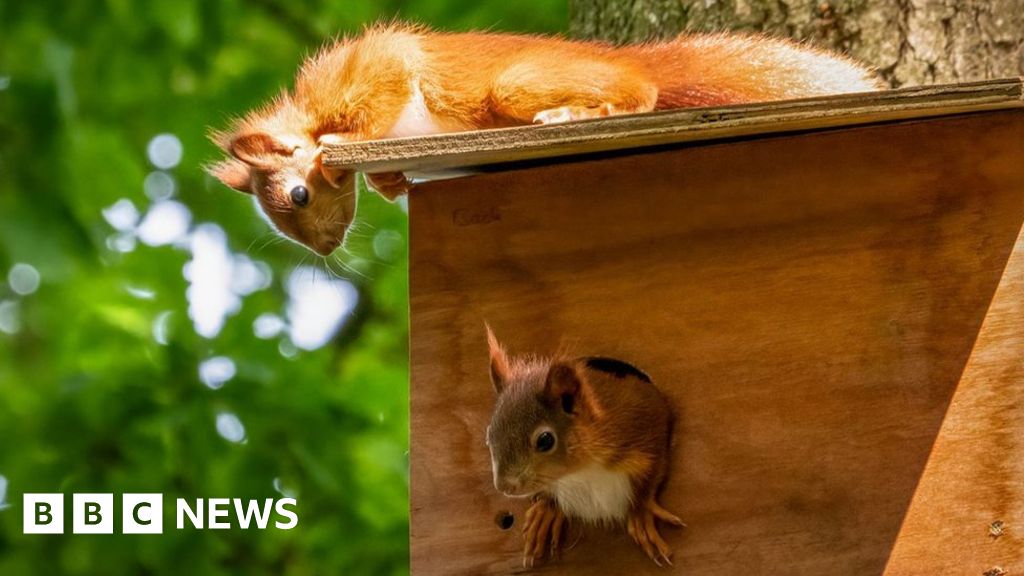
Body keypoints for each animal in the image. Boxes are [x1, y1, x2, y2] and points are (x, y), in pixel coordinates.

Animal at [205, 22, 880, 254]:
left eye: (299, 196)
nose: (324, 250)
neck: (310, 113)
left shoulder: (375, 69)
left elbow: (375, 102)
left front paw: (337, 151)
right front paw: (390, 179)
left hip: (519, 85)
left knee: (641, 94)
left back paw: (571, 115)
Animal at [483, 327, 684, 565]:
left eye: (545, 440)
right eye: (488, 435)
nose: (504, 486)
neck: (579, 473)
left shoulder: (647, 432)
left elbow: (651, 474)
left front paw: (641, 513)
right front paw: (547, 511)